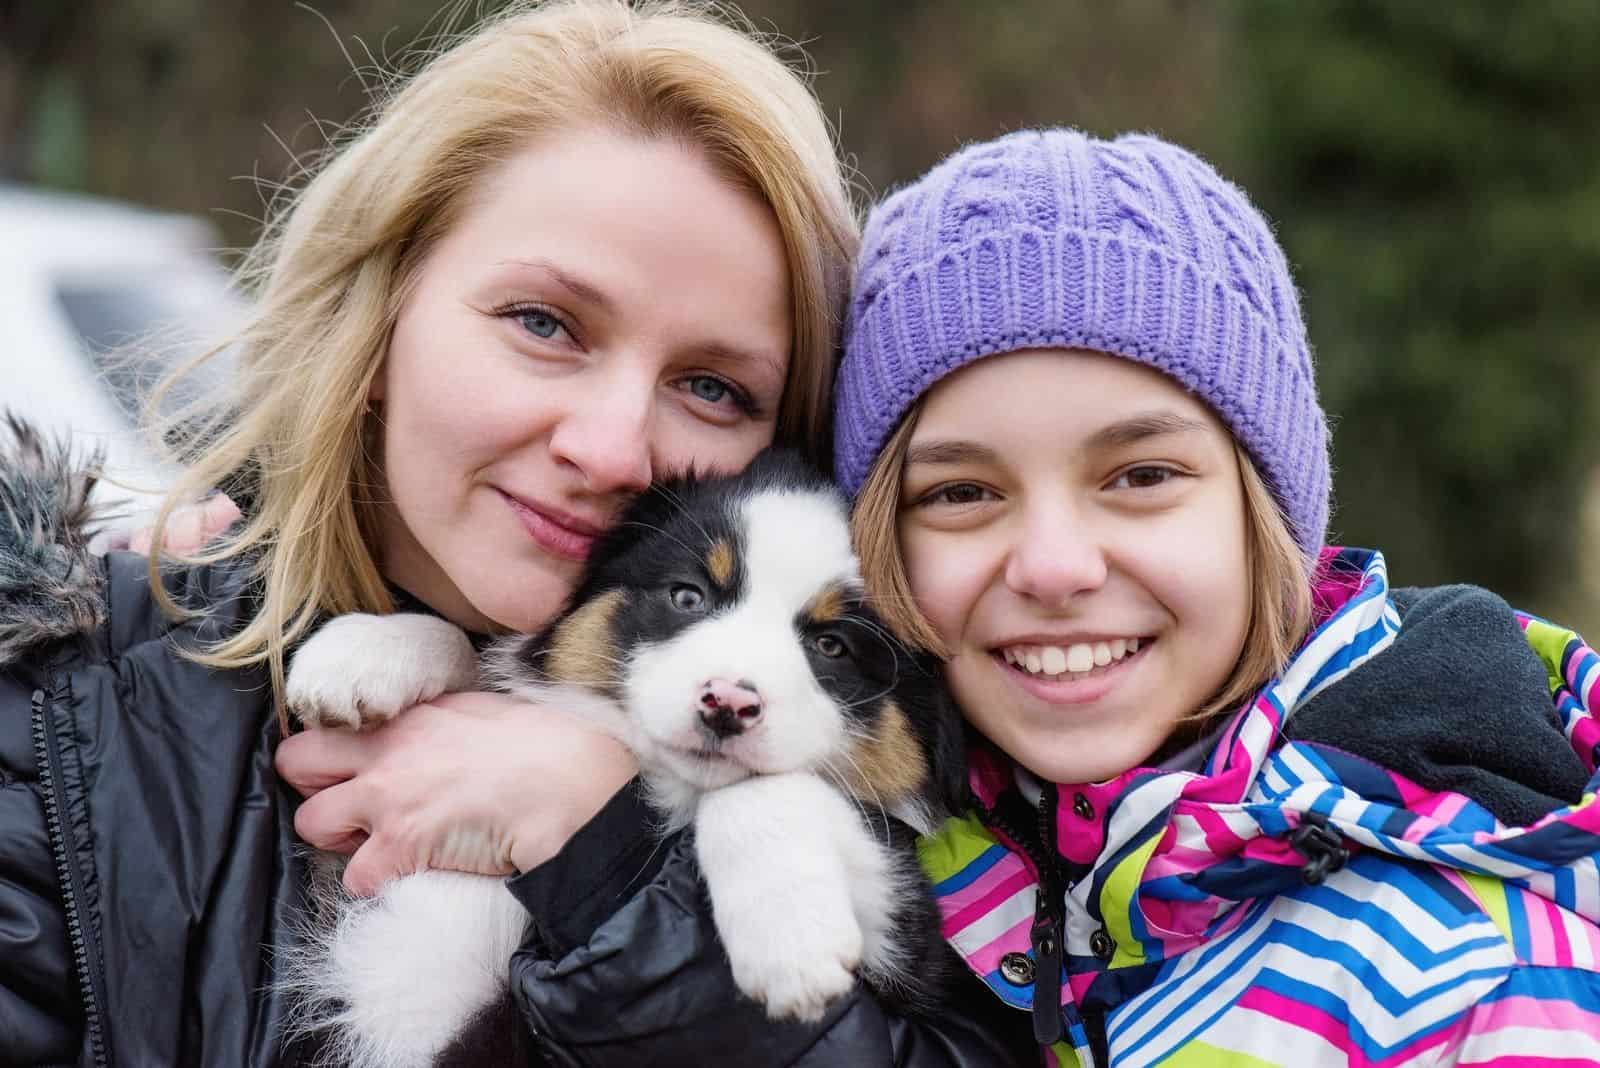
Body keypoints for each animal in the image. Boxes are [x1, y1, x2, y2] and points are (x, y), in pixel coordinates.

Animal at [278, 450, 960, 1068]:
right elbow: (481, 652)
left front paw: (791, 943)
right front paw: (360, 653)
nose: (727, 703)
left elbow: (769, 789)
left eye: (831, 646)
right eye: (687, 597)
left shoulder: (907, 955)